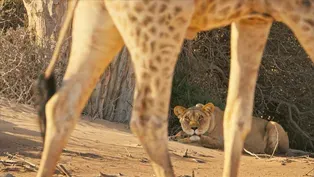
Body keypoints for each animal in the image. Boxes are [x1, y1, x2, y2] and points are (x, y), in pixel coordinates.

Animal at [34, 0, 314, 177]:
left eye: (200, 118)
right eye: (188, 118)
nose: (193, 127)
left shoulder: (253, 16)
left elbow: (237, 117)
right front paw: (186, 137)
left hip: (99, 25)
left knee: (62, 105)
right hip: (161, 24)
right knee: (147, 117)